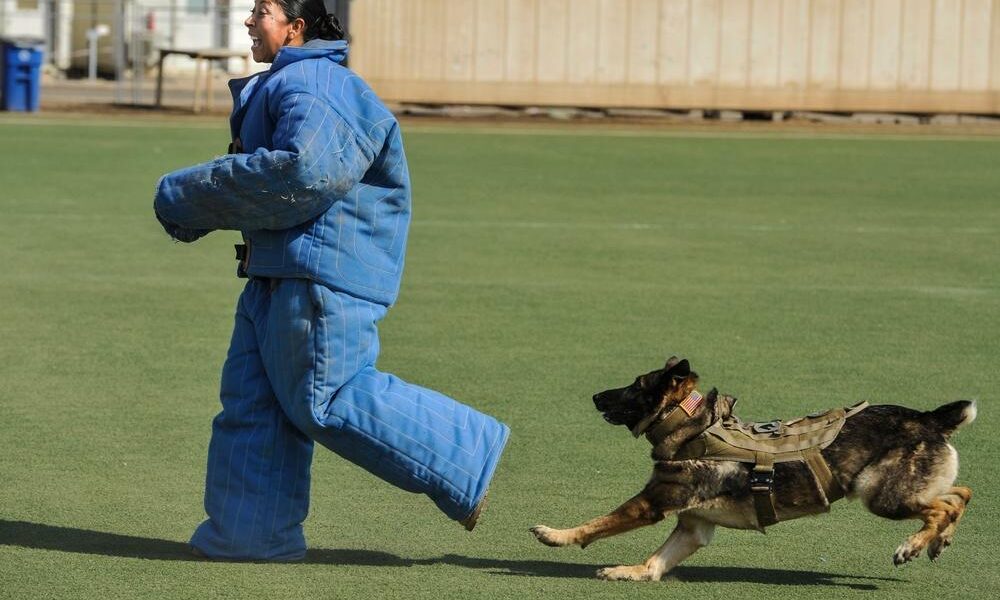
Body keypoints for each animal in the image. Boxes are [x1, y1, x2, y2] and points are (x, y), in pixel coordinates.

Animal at [532, 358, 976, 580]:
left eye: (636, 386)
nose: (594, 396)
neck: (696, 427)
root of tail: (928, 418)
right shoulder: (693, 527)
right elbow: (655, 563)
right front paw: (631, 572)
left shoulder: (650, 505)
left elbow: (595, 524)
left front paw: (556, 535)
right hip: (902, 489)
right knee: (959, 496)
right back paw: (940, 541)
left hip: (881, 495)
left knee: (941, 507)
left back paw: (913, 545)